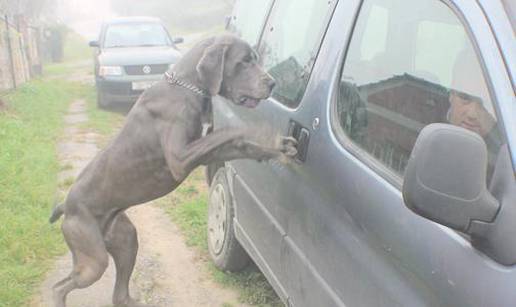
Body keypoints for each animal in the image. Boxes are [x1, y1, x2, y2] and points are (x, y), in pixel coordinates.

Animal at [50, 34, 296, 307]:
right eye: (243, 61)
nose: (272, 83)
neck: (186, 87)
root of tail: (66, 206)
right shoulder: (180, 158)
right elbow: (229, 131)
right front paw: (259, 131)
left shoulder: (207, 152)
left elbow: (240, 145)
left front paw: (279, 148)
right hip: (93, 259)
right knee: (60, 286)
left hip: (126, 240)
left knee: (119, 293)